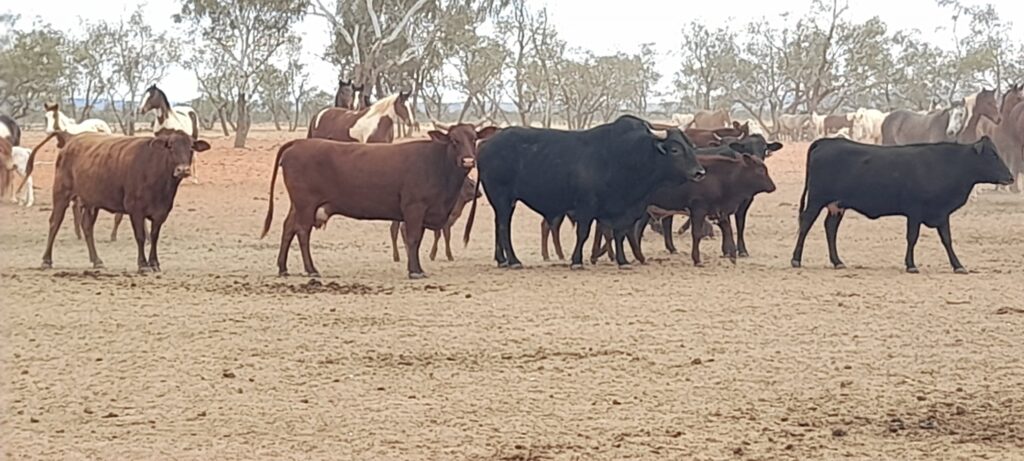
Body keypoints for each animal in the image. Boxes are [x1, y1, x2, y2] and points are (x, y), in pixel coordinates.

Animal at [21, 130, 210, 272]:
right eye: (170, 146)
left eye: (191, 148)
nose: (183, 170)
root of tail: (71, 138)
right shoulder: (136, 211)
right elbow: (141, 236)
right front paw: (143, 264)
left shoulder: (161, 213)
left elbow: (154, 236)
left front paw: (155, 263)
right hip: (61, 193)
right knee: (55, 222)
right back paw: (46, 260)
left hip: (91, 202)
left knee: (87, 226)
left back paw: (97, 260)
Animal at [261, 123, 497, 279]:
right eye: (454, 141)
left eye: (473, 139)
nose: (468, 161)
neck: (436, 164)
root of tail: (298, 143)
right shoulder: (414, 208)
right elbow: (413, 239)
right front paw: (415, 271)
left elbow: (417, 239)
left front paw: (417, 268)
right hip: (306, 205)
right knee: (302, 231)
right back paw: (311, 269)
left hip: (298, 205)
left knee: (288, 228)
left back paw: (283, 268)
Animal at [477, 116, 705, 270]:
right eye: (675, 149)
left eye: (690, 145)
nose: (700, 172)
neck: (624, 155)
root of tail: (487, 143)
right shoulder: (586, 206)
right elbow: (584, 233)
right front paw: (576, 260)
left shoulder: (623, 209)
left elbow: (620, 233)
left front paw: (623, 260)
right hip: (502, 198)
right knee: (504, 227)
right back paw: (514, 260)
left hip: (503, 202)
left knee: (499, 226)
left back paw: (502, 259)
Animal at [791, 137, 1013, 274]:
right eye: (992, 155)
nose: (1010, 177)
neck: (947, 164)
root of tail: (827, 141)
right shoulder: (914, 211)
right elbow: (912, 237)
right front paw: (911, 265)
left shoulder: (942, 214)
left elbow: (947, 240)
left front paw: (958, 265)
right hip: (816, 200)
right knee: (806, 224)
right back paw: (796, 259)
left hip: (837, 206)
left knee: (830, 228)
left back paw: (837, 262)